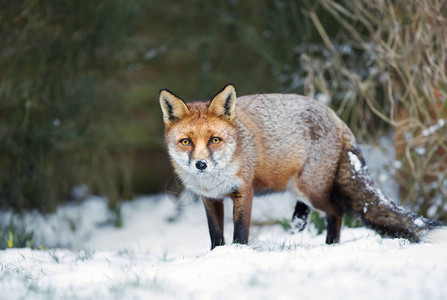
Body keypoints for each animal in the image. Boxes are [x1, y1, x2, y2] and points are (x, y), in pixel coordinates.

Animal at [160, 84, 447, 248]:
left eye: (214, 140)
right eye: (186, 142)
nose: (200, 164)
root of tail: (335, 117)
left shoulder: (244, 192)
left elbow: (240, 233)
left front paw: (238, 255)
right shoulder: (210, 199)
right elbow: (216, 237)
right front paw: (218, 257)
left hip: (311, 189)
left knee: (337, 211)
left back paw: (330, 246)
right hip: (301, 190)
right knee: (315, 213)